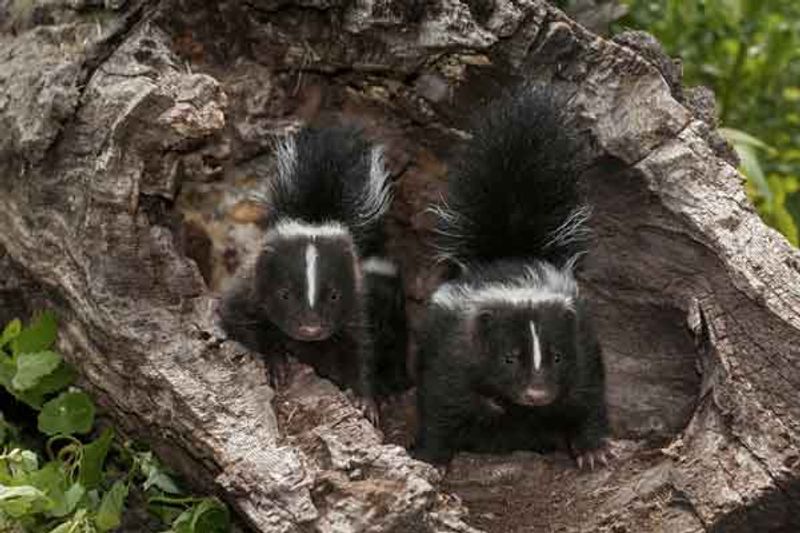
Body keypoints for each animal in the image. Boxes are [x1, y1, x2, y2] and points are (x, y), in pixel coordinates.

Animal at [219, 125, 394, 424]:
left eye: (334, 295)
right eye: (284, 294)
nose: (311, 328)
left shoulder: (354, 307)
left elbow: (359, 350)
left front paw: (366, 400)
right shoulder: (247, 290)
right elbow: (235, 319)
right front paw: (277, 363)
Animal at [416, 85, 608, 468]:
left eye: (557, 356)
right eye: (508, 358)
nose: (537, 393)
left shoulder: (582, 348)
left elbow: (589, 398)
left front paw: (593, 450)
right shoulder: (452, 355)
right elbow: (438, 405)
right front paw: (432, 459)